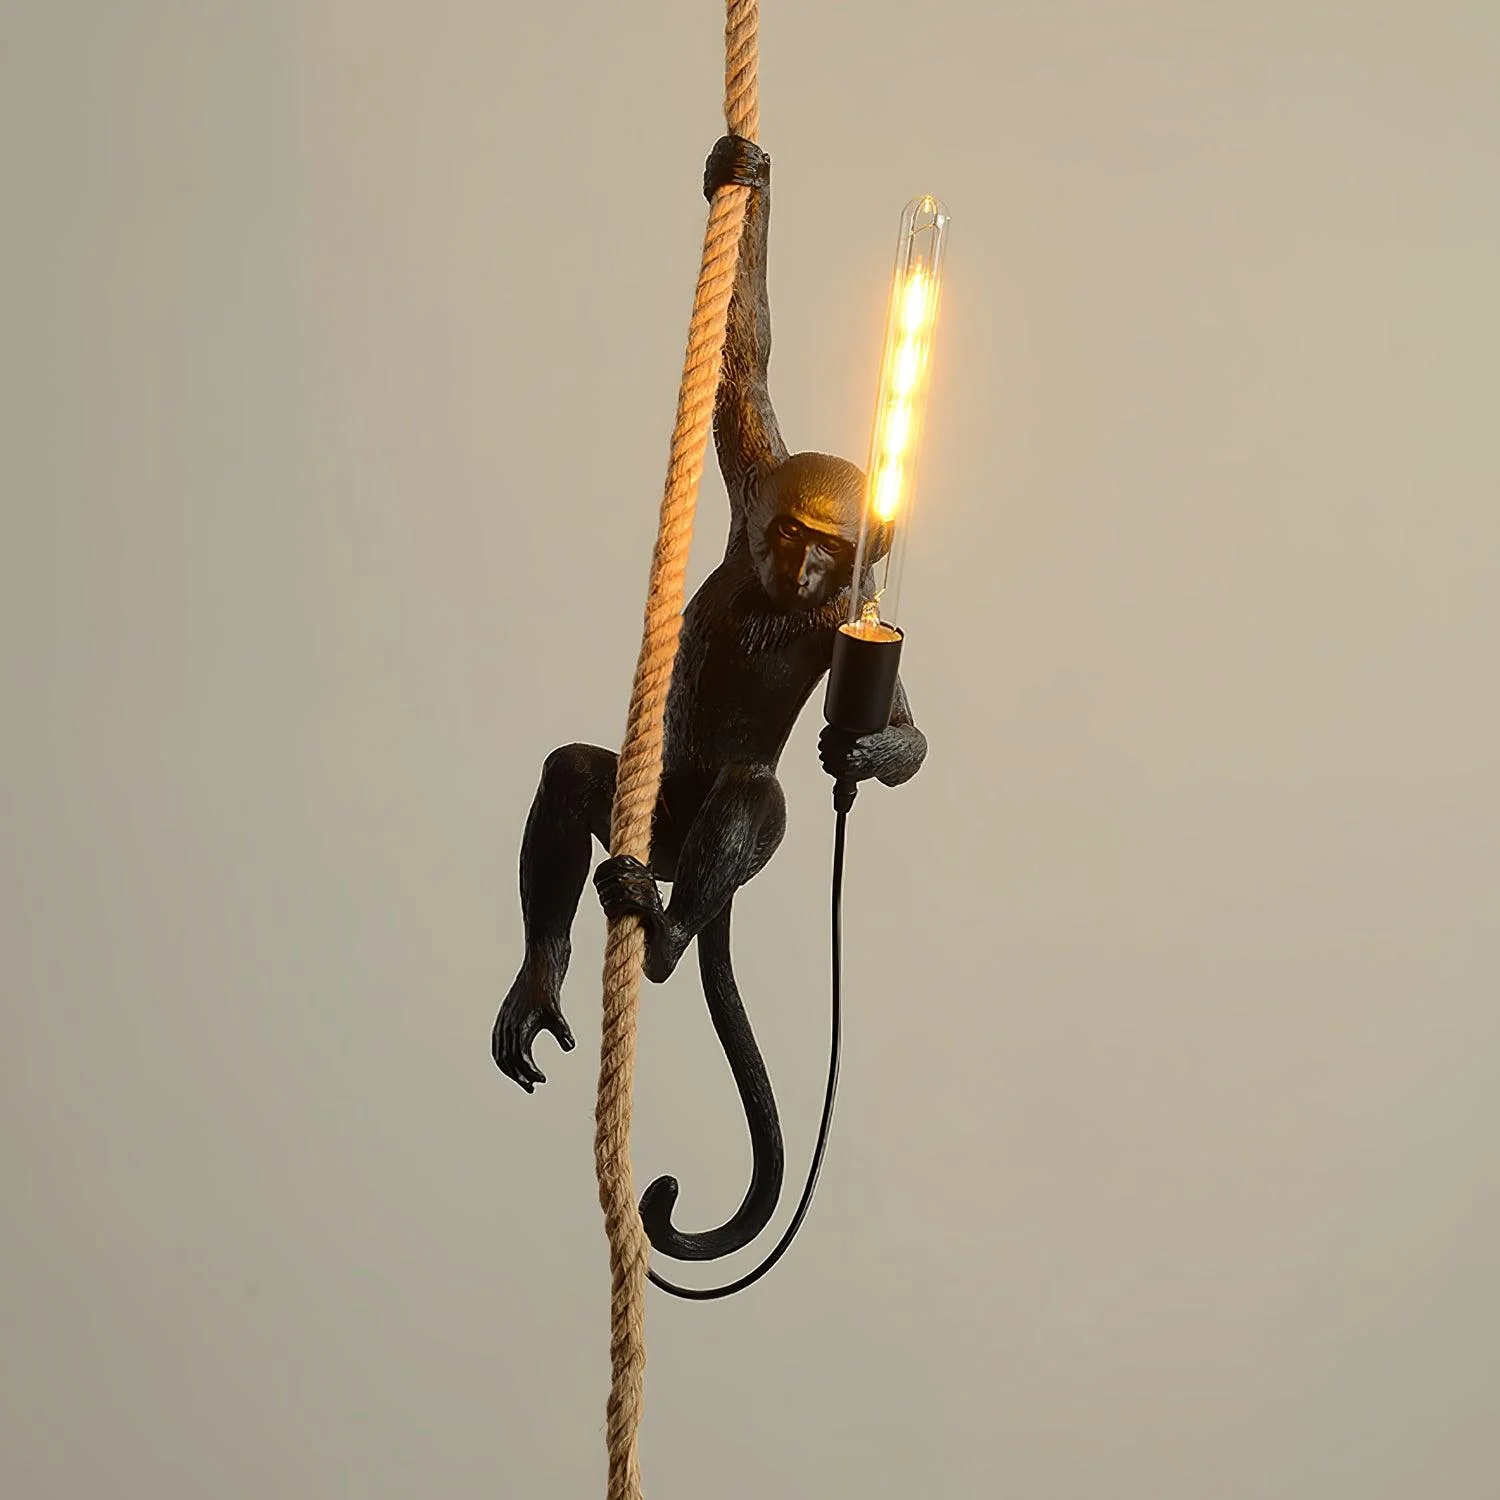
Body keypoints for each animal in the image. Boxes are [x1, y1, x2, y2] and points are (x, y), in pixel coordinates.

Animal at [493, 135, 928, 1262]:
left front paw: (865, 754)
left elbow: (906, 728)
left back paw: (667, 938)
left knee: (752, 797)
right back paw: (544, 975)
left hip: (694, 839)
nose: (810, 569)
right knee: (575, 777)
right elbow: (744, 360)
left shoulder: (859, 616)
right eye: (793, 532)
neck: (788, 599)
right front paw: (744, 177)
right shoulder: (751, 477)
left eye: (833, 551)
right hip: (645, 816)